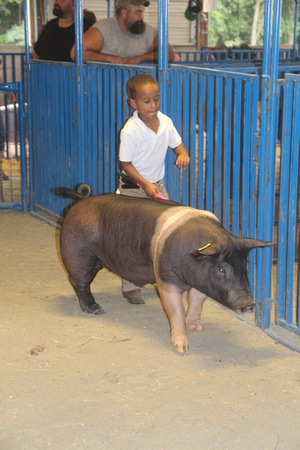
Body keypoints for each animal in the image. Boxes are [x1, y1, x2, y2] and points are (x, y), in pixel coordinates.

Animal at [56, 185, 274, 354]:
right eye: (222, 269)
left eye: (245, 266)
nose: (248, 303)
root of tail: (82, 199)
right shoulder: (165, 277)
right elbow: (175, 310)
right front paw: (182, 348)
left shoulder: (202, 281)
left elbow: (196, 302)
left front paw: (197, 329)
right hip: (77, 252)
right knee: (79, 282)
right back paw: (96, 310)